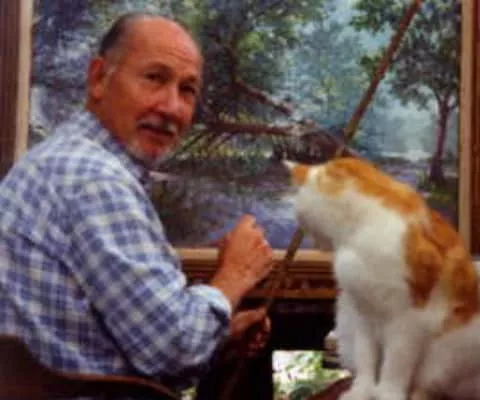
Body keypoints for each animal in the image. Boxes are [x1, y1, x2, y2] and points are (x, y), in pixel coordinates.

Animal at [285, 156, 480, 400]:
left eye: (299, 215)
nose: (314, 243)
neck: (358, 234)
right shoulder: (362, 312)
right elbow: (366, 357)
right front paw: (363, 390)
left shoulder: (407, 319)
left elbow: (395, 364)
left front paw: (387, 392)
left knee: (431, 385)